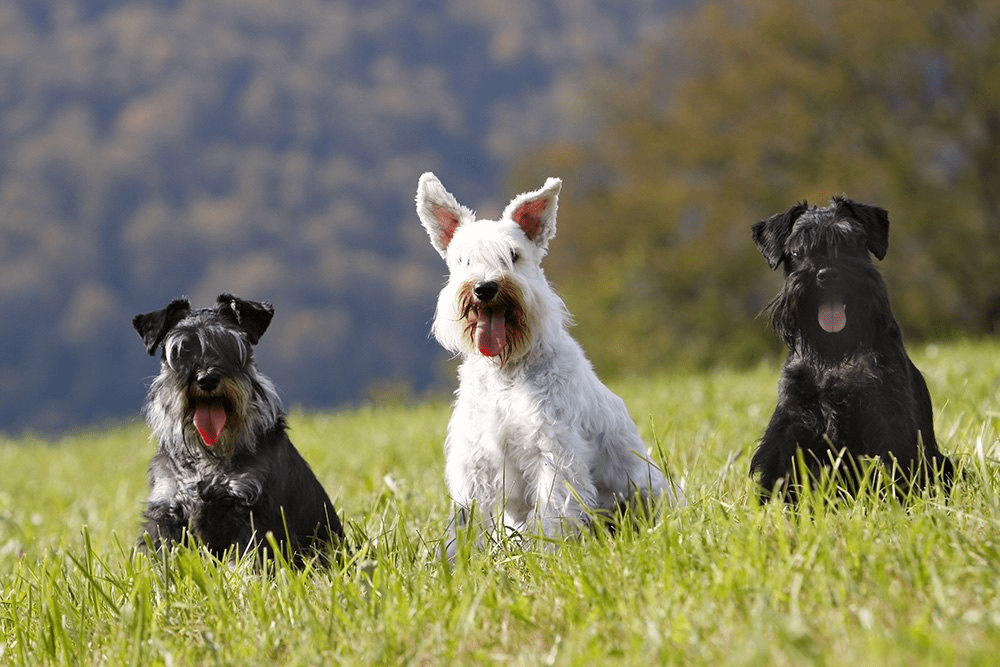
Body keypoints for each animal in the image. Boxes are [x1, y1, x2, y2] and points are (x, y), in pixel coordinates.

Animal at [133, 294, 344, 568]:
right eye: (181, 350)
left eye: (229, 345)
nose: (206, 379)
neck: (207, 458)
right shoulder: (167, 510)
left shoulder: (248, 512)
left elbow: (244, 562)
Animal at [414, 174, 680, 560]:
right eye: (463, 259)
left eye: (514, 255)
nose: (485, 287)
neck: (507, 371)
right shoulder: (474, 461)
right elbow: (467, 519)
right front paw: (456, 561)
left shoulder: (553, 450)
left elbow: (555, 509)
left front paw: (550, 553)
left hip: (648, 491)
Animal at [752, 197, 952, 500]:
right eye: (797, 250)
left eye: (851, 242)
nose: (827, 274)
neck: (834, 355)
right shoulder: (792, 419)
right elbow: (779, 469)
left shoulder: (886, 411)